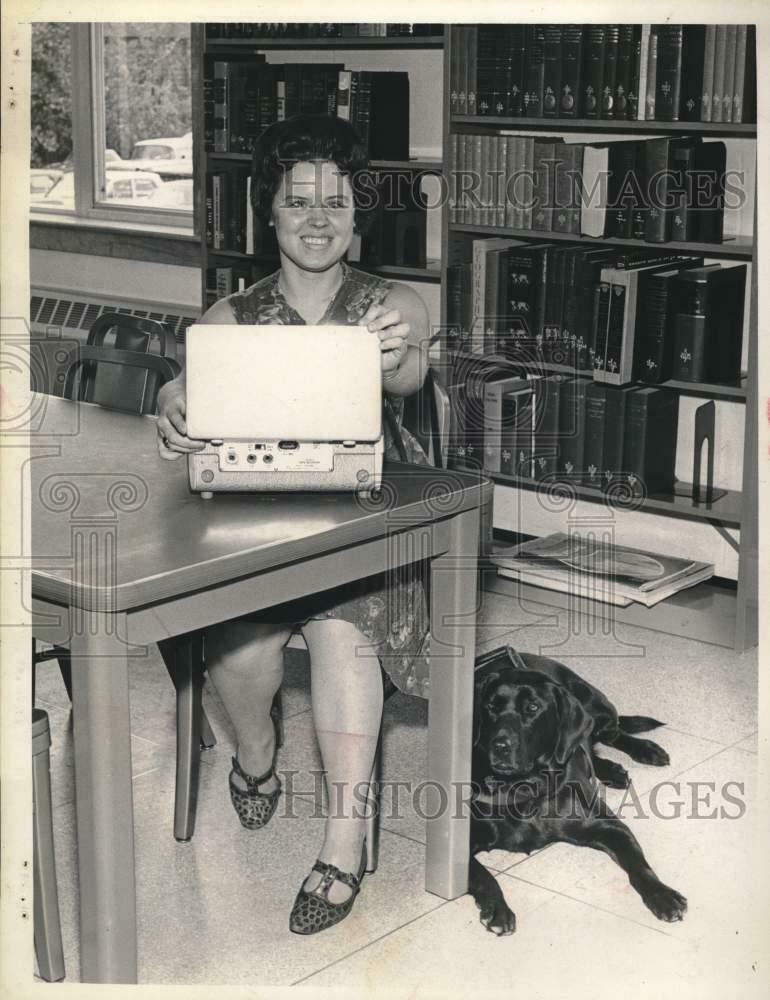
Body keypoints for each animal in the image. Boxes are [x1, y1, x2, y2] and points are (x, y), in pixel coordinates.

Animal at [464, 648, 688, 936]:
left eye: (533, 708)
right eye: (490, 706)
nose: (500, 745)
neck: (526, 784)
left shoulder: (610, 827)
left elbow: (638, 864)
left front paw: (662, 895)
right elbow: (483, 876)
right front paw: (497, 908)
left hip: (598, 709)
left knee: (612, 733)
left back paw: (645, 750)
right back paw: (611, 769)